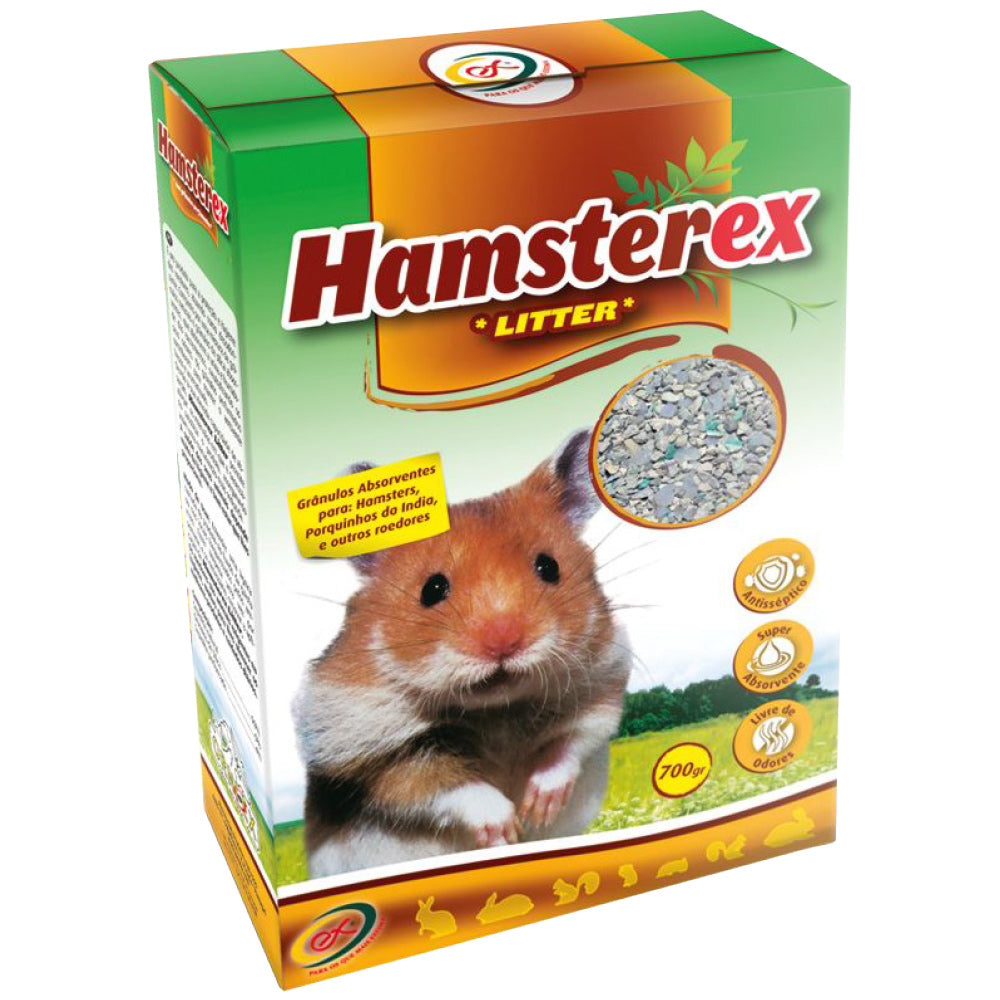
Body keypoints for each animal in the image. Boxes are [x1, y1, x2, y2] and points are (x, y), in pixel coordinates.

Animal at [294, 430, 631, 878]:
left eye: (549, 567)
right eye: (432, 589)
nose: (504, 643)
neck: (497, 708)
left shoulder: (601, 685)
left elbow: (571, 743)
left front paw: (537, 808)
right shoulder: (367, 749)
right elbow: (443, 784)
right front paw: (505, 829)